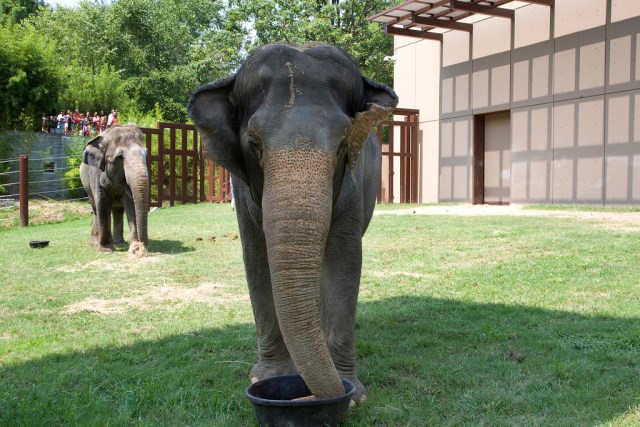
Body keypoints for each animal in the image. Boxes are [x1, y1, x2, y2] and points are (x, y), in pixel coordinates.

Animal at [79, 125, 149, 254]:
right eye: (119, 157)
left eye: (146, 155)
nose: (142, 247)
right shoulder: (96, 173)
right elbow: (102, 204)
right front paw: (106, 250)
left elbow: (131, 204)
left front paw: (134, 247)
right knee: (95, 209)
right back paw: (94, 244)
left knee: (118, 210)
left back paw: (119, 242)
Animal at [188, 43, 398, 402]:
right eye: (254, 144)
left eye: (343, 145)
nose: (318, 396)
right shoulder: (243, 192)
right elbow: (257, 261)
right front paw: (268, 377)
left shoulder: (352, 185)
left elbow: (344, 261)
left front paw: (353, 393)